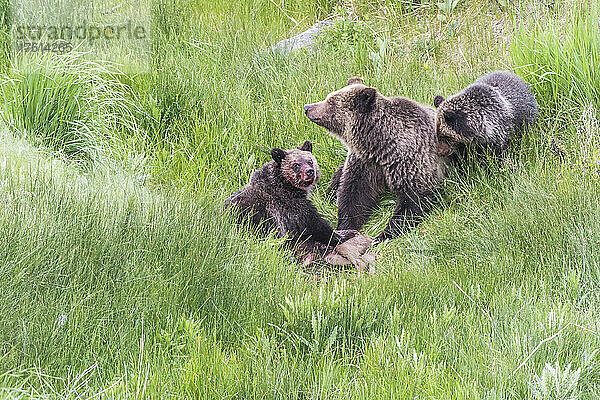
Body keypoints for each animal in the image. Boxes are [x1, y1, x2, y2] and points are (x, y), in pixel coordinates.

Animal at [304, 77, 450, 241]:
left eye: (330, 101)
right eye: (329, 97)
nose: (307, 107)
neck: (380, 145)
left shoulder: (411, 160)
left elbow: (413, 200)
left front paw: (383, 235)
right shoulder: (365, 162)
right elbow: (353, 195)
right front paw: (345, 226)